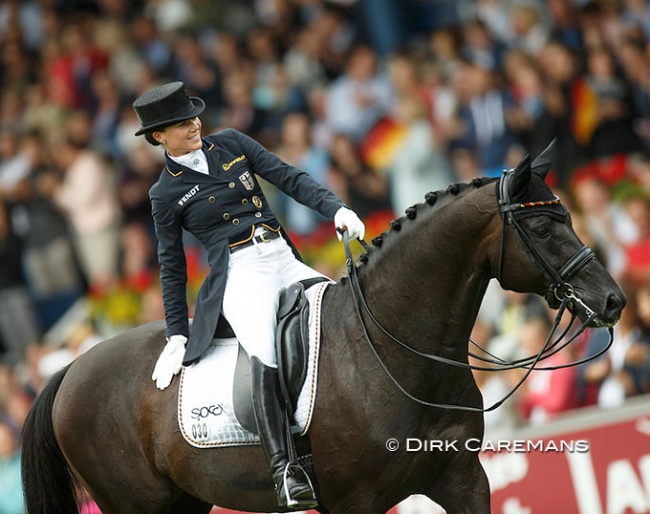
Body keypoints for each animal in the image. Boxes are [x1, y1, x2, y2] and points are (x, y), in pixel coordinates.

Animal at [20, 145, 624, 512]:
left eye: (568, 216)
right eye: (542, 226)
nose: (613, 301)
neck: (392, 349)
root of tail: (70, 369)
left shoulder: (463, 479)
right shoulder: (356, 502)